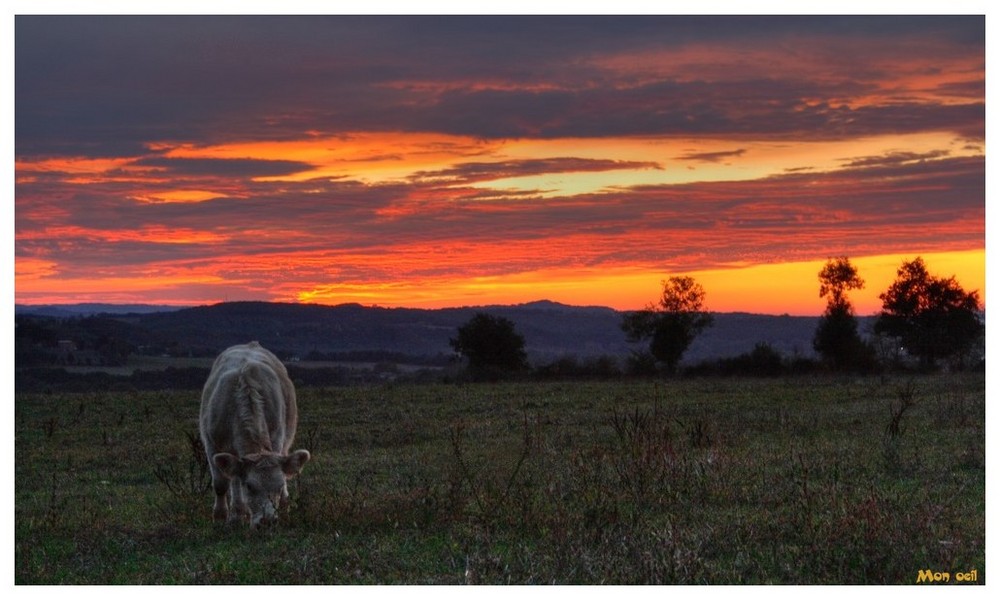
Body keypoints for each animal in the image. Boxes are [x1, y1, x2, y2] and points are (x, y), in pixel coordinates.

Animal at [201, 340, 310, 528]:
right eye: (250, 486)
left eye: (279, 486)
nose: (267, 522)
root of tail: (251, 344)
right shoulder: (211, 444)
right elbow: (221, 484)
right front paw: (221, 518)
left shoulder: (277, 440)